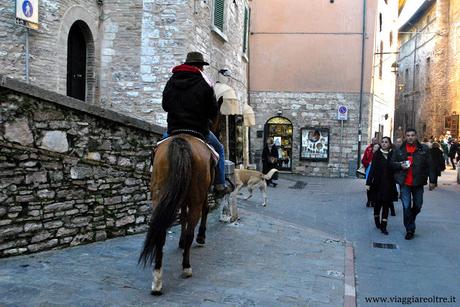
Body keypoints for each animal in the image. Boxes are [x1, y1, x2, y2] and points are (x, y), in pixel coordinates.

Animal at [137, 135, 215, 296]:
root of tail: (181, 140)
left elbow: (183, 216)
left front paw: (181, 240)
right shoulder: (202, 194)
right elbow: (204, 210)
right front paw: (201, 237)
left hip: (159, 195)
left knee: (160, 232)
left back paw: (157, 280)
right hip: (196, 197)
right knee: (192, 228)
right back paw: (186, 267)